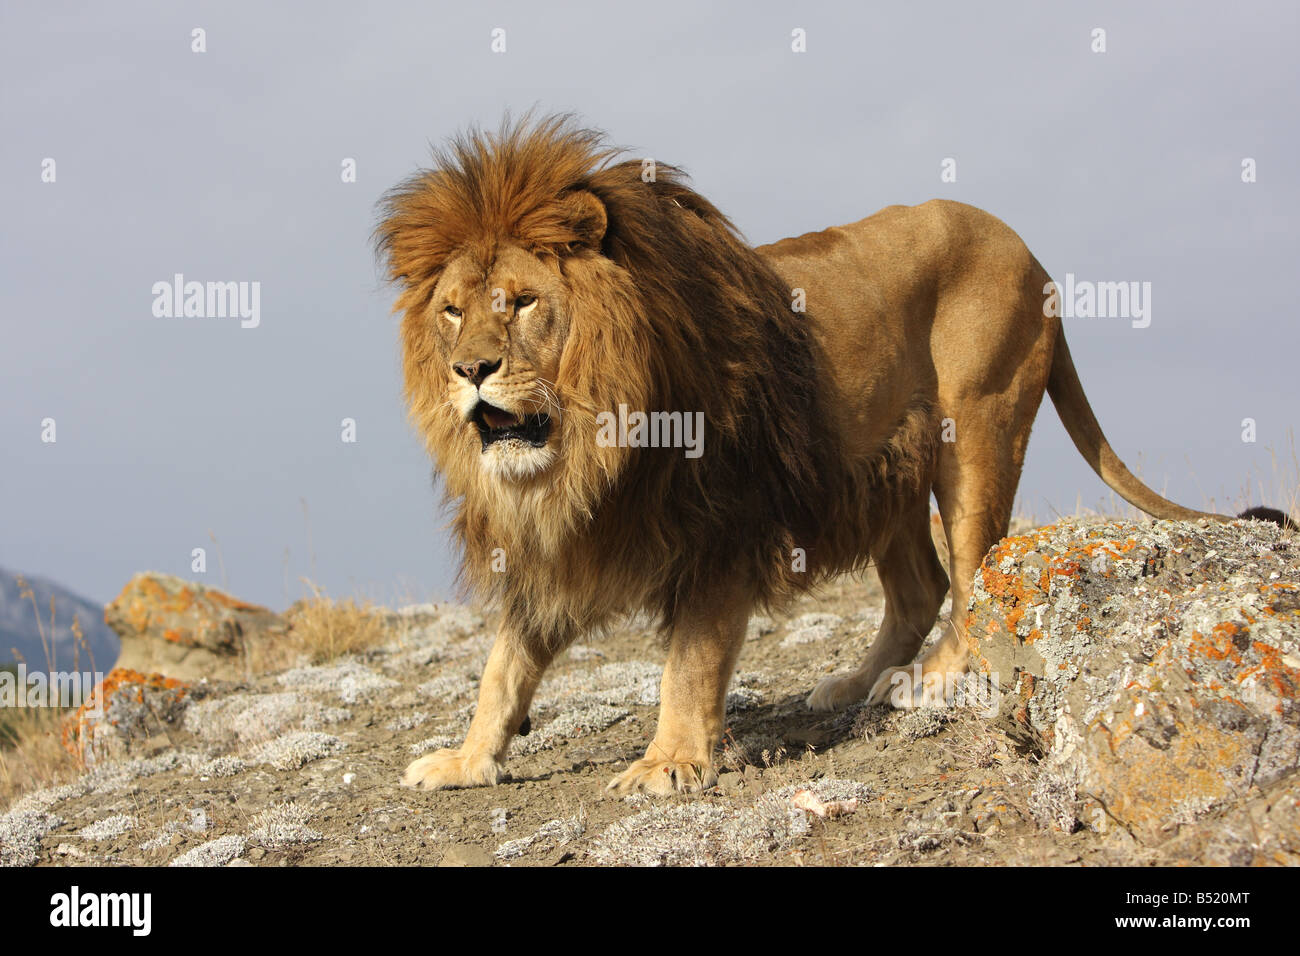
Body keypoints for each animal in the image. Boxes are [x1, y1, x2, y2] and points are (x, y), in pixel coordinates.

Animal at [376, 115, 1224, 795]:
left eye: (521, 303)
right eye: (451, 312)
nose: (469, 370)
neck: (589, 446)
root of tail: (1029, 251)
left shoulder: (721, 526)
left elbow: (688, 662)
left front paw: (669, 763)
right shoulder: (557, 545)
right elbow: (502, 667)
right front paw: (466, 759)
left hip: (978, 428)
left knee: (975, 573)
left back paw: (929, 683)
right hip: (887, 468)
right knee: (922, 587)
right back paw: (857, 682)